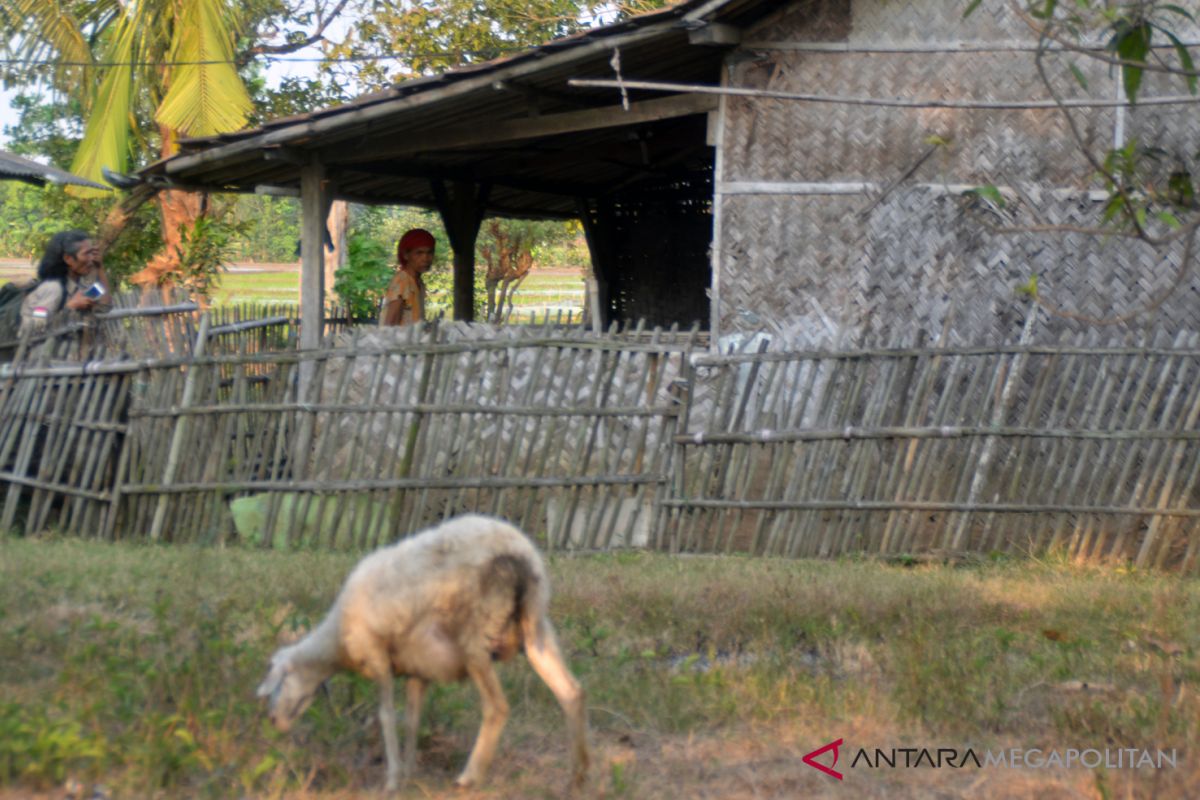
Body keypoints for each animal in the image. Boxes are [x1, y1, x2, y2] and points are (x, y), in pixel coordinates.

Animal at [255, 515, 588, 791]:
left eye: (278, 682)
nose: (272, 722)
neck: (336, 642)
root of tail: (520, 555)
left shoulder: (377, 656)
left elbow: (387, 716)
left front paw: (391, 780)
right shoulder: (418, 669)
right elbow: (413, 719)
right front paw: (409, 773)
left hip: (475, 636)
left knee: (497, 707)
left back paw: (470, 777)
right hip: (535, 627)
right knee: (571, 691)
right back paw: (577, 777)